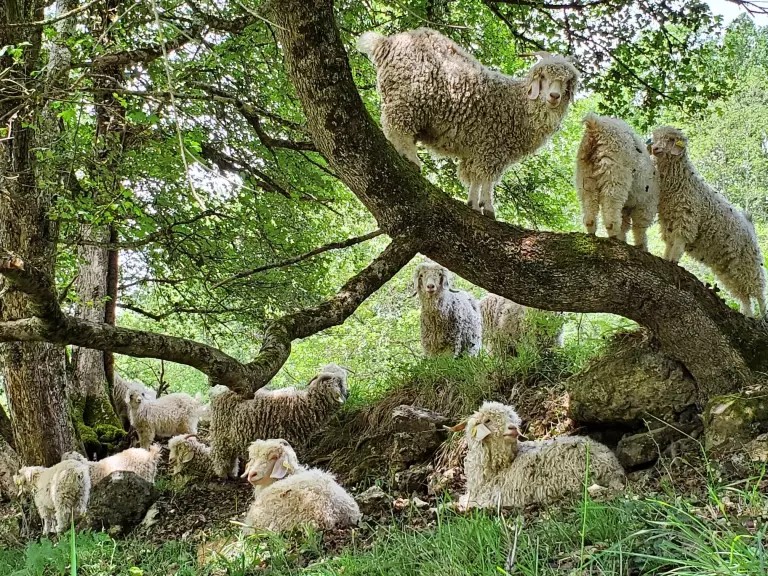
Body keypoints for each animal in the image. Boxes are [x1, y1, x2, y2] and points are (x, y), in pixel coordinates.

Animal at [208, 364, 349, 478]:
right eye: (340, 383)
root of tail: (218, 393)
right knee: (220, 454)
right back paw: (222, 474)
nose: (348, 393)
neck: (304, 405)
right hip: (220, 433)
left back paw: (232, 473)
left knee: (231, 455)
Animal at [358, 27, 579, 219]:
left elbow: (475, 177)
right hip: (409, 95)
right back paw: (411, 159)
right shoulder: (493, 146)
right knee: (397, 126)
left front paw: (472, 204)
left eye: (567, 81)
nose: (554, 96)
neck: (519, 104)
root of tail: (385, 43)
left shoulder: (478, 150)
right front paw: (488, 207)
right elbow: (487, 179)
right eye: (543, 77)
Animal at [575, 113, 659, 251]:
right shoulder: (646, 204)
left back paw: (591, 227)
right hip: (614, 170)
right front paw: (642, 246)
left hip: (585, 173)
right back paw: (613, 232)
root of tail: (596, 124)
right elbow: (639, 227)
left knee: (589, 200)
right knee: (611, 200)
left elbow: (626, 224)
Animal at [651, 126, 767, 317]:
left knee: (758, 290)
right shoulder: (669, 221)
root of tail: (749, 224)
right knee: (743, 294)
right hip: (729, 267)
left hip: (750, 261)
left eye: (670, 139)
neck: (681, 180)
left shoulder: (686, 218)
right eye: (655, 138)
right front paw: (665, 258)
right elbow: (669, 244)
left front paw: (672, 261)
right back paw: (747, 315)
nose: (655, 149)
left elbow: (678, 243)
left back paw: (763, 315)